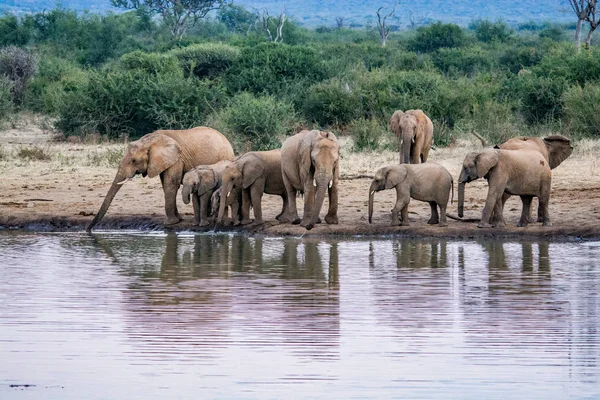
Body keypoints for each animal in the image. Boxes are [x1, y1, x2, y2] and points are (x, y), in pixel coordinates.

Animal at [86, 125, 234, 231]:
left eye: (134, 161)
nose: (88, 230)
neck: (149, 140)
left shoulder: (177, 159)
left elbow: (171, 183)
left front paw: (170, 223)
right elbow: (165, 184)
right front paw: (178, 219)